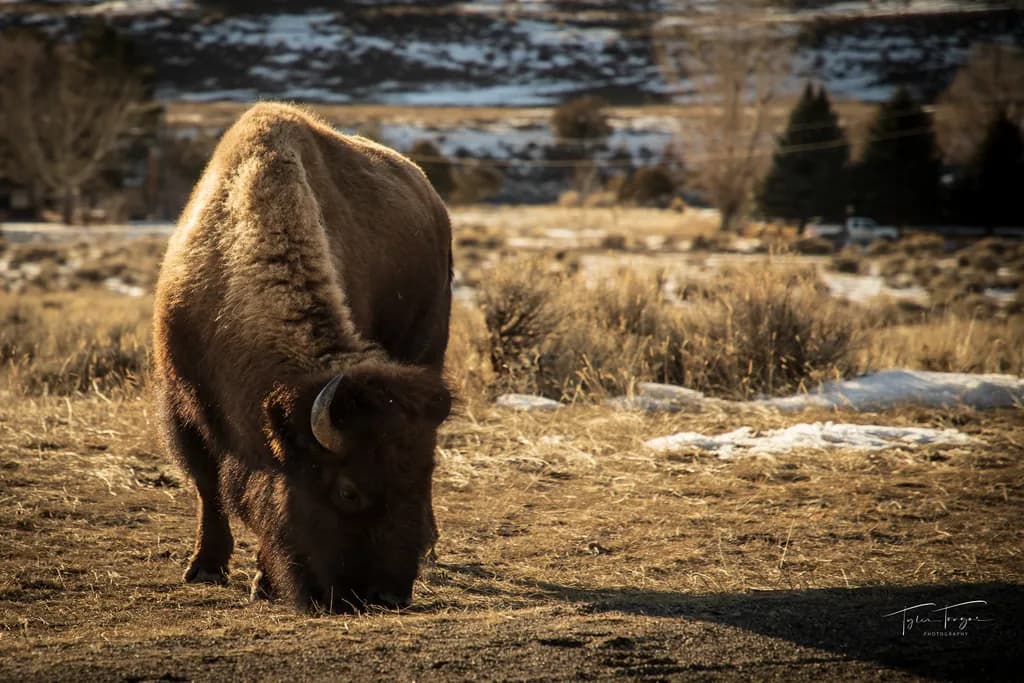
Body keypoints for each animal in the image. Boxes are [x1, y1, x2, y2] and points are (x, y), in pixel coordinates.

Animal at [153, 103, 452, 612]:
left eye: (423, 477)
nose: (387, 595)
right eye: (348, 491)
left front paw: (262, 581)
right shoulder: (183, 403)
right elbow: (207, 484)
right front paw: (206, 567)